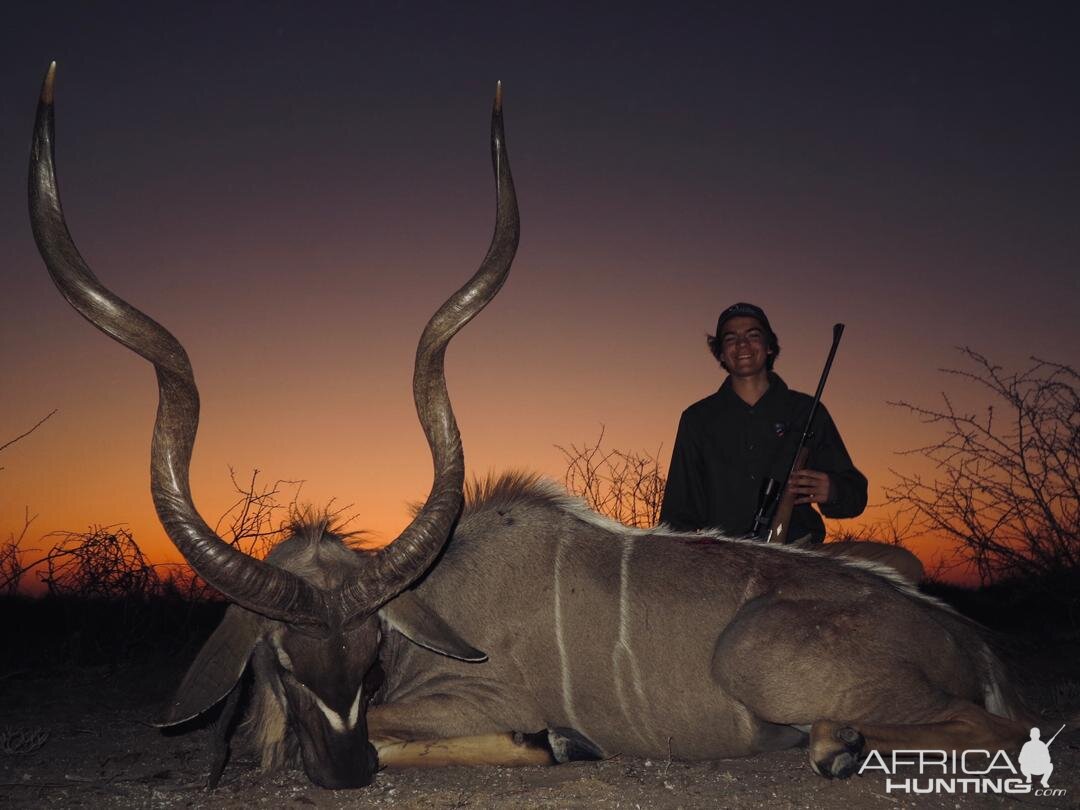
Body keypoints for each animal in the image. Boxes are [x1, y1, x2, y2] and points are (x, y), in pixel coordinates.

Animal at [29, 68, 1032, 794]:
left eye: (372, 655)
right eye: (281, 657)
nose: (344, 775)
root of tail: (973, 644)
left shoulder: (462, 697)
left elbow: (434, 731)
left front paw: (558, 740)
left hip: (762, 659)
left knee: (998, 727)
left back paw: (835, 744)